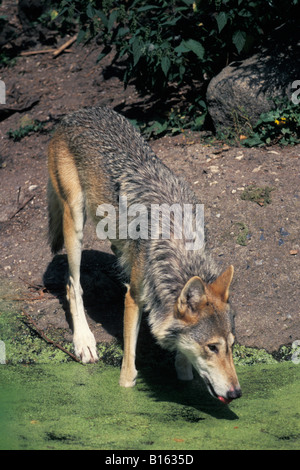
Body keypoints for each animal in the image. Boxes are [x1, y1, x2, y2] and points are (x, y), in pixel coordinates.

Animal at [47, 106, 241, 404]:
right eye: (212, 347)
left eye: (231, 346)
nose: (237, 392)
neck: (177, 245)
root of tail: (78, 112)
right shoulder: (135, 296)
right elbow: (128, 366)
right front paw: (125, 388)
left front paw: (183, 370)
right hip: (75, 220)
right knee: (72, 284)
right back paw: (84, 342)